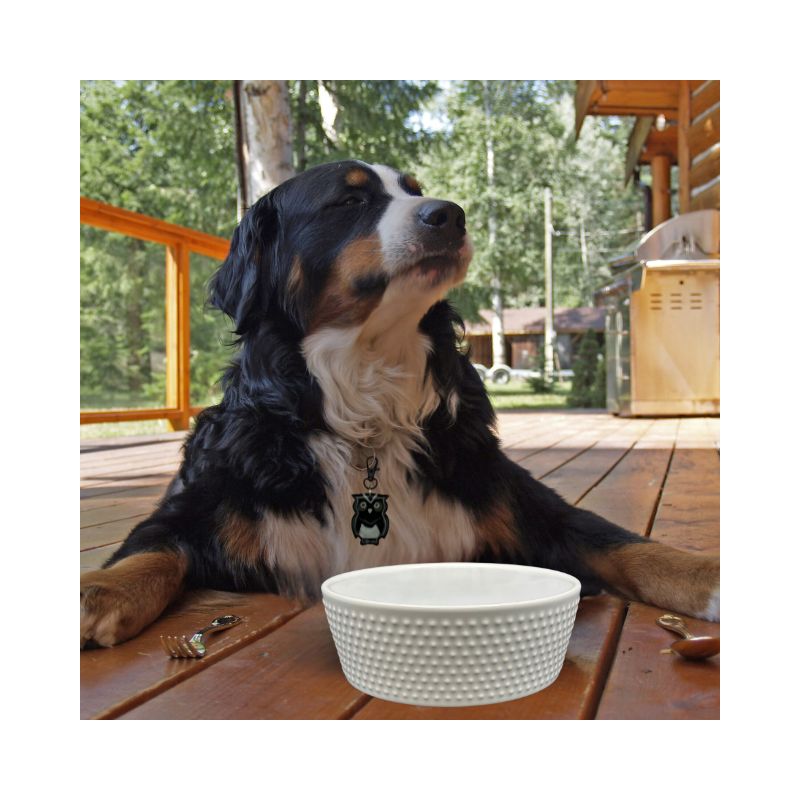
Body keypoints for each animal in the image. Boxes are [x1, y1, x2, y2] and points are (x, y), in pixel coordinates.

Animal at [79, 159, 720, 648]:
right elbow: (152, 551)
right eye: (349, 200)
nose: (451, 214)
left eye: (414, 189)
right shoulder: (202, 502)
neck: (367, 399)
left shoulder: (519, 500)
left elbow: (621, 542)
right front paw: (98, 592)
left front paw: (706, 572)